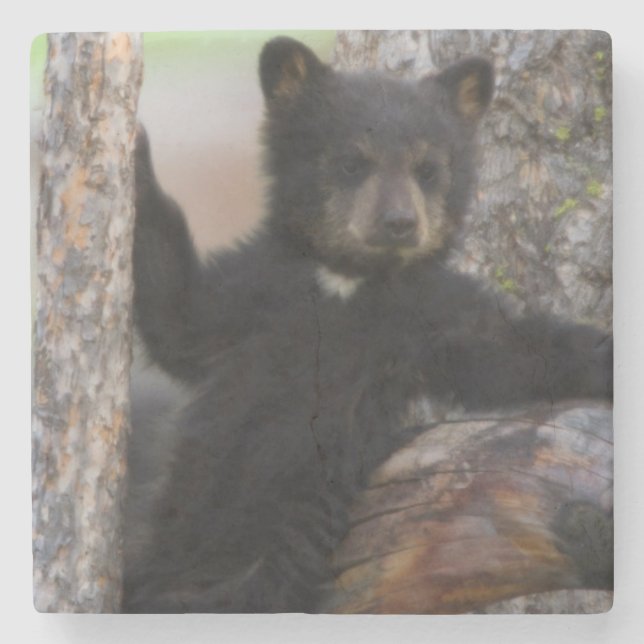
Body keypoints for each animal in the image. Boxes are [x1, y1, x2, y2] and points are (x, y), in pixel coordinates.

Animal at [122, 36, 612, 613]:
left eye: (428, 168)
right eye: (353, 162)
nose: (400, 223)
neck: (348, 283)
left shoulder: (427, 316)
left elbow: (513, 350)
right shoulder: (257, 291)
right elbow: (179, 317)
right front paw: (133, 154)